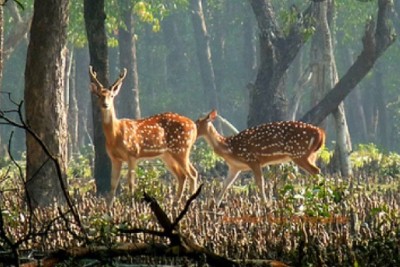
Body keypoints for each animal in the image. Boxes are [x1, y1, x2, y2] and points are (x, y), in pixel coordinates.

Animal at [89, 66, 198, 207]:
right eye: (99, 95)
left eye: (111, 96)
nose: (105, 105)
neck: (115, 135)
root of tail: (194, 126)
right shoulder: (114, 158)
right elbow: (113, 185)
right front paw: (108, 209)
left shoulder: (132, 153)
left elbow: (131, 183)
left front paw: (132, 205)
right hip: (167, 154)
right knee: (182, 175)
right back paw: (175, 203)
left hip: (181, 148)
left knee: (192, 174)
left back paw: (191, 203)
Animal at [196, 110, 324, 206]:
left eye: (197, 123)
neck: (229, 149)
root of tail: (320, 133)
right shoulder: (235, 167)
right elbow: (226, 184)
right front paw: (215, 205)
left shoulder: (252, 159)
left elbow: (260, 182)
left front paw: (265, 203)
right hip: (311, 155)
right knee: (314, 172)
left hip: (299, 154)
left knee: (316, 171)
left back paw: (316, 197)